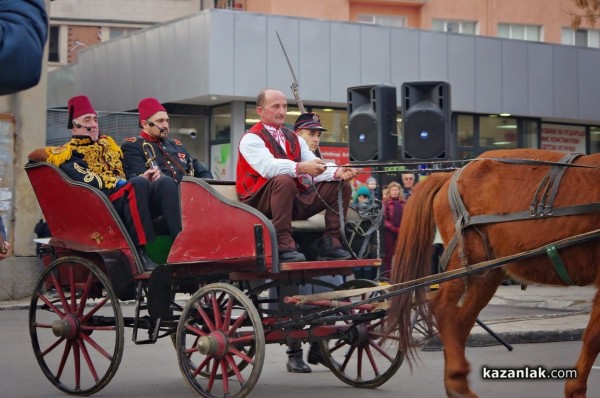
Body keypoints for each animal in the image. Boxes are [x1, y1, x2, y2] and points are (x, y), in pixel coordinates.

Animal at [390, 148, 600, 396]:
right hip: (464, 262)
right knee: (443, 310)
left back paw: (455, 380)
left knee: (460, 320)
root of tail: (453, 174)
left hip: (488, 272)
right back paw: (458, 380)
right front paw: (575, 390)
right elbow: (594, 337)